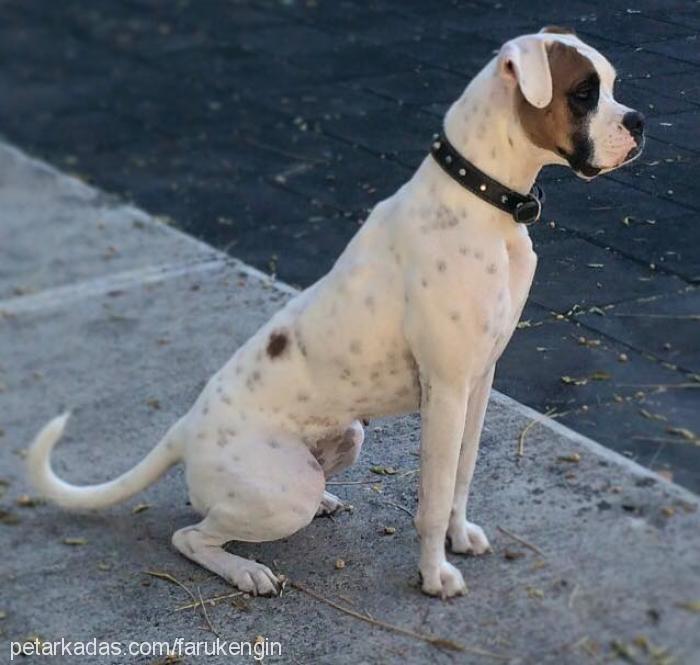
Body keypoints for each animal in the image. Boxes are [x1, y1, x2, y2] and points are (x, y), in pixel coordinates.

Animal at [28, 27, 644, 596]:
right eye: (584, 93)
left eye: (612, 85)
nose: (639, 121)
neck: (483, 197)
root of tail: (183, 428)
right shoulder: (446, 389)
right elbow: (432, 494)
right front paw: (433, 574)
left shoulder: (480, 380)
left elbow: (462, 475)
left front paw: (459, 536)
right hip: (283, 491)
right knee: (191, 536)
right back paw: (247, 571)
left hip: (347, 436)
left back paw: (322, 502)